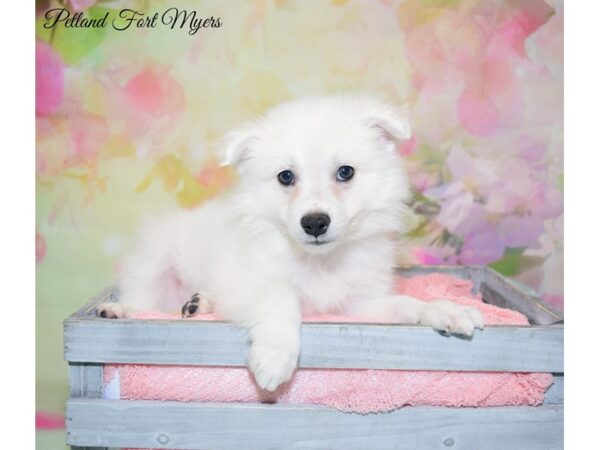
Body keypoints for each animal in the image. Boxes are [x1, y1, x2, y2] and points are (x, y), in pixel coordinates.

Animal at [97, 94, 482, 390]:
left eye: (345, 172)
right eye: (285, 177)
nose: (314, 222)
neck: (320, 262)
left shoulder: (357, 305)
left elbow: (406, 304)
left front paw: (445, 310)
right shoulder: (248, 282)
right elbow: (281, 298)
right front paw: (275, 357)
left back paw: (196, 304)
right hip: (154, 263)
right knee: (146, 302)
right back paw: (118, 310)